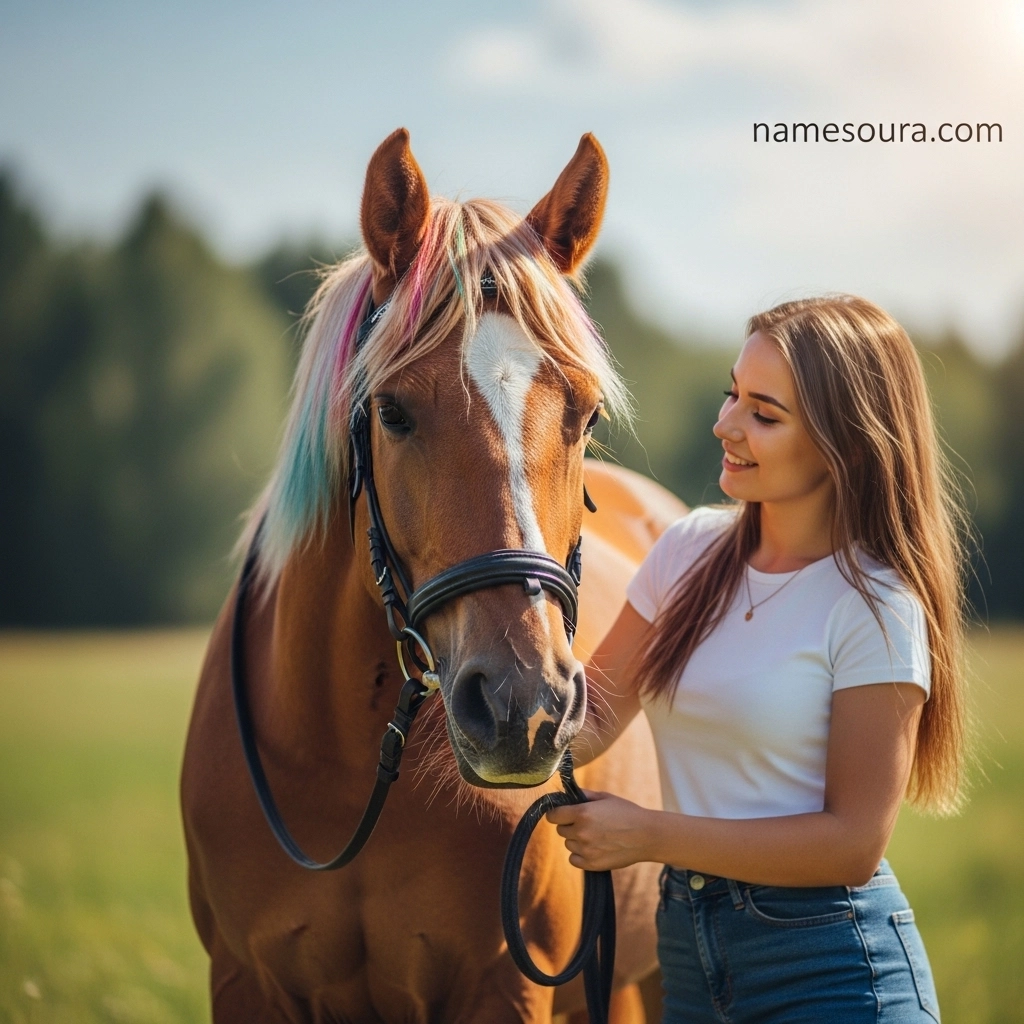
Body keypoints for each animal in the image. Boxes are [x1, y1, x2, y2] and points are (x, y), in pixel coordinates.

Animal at [181, 128, 687, 1023]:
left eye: (586, 415)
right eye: (392, 412)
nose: (524, 708)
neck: (344, 764)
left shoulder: (504, 988)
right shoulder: (244, 981)